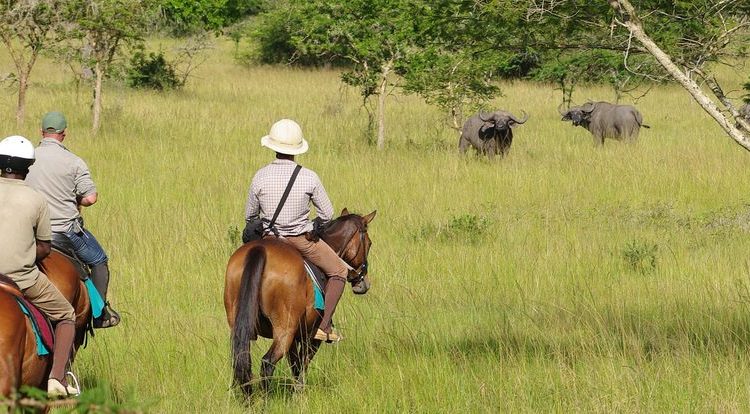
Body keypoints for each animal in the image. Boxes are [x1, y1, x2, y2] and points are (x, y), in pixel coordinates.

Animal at [224, 208, 376, 397]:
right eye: (369, 244)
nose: (363, 284)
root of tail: (260, 249)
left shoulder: (295, 336)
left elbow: (295, 364)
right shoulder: (309, 335)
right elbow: (302, 364)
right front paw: (300, 393)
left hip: (239, 325)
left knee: (242, 360)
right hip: (285, 329)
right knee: (267, 362)